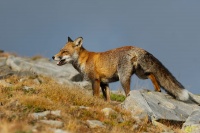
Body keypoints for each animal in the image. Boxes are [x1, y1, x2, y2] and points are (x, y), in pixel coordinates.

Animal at [53, 36, 200, 104]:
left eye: (64, 52)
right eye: (60, 50)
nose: (54, 56)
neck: (84, 60)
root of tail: (136, 47)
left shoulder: (95, 80)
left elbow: (95, 95)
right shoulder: (104, 82)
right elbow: (107, 98)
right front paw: (109, 105)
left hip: (124, 78)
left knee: (129, 91)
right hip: (141, 74)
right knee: (152, 74)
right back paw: (157, 90)